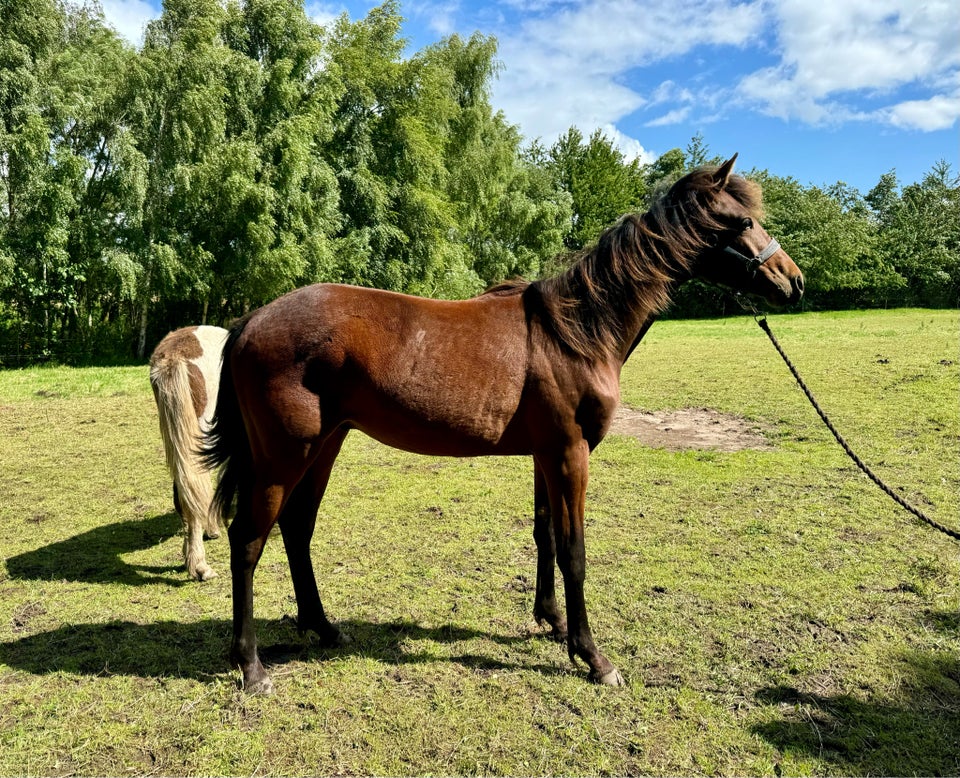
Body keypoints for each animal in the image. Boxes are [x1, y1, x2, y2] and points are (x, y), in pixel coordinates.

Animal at [202, 156, 804, 692]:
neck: (574, 331)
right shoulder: (570, 452)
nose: (794, 282)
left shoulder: (546, 453)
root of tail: (250, 320)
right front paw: (593, 657)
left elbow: (545, 535)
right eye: (743, 222)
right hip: (283, 456)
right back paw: (251, 666)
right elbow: (574, 550)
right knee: (248, 539)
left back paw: (324, 628)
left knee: (297, 528)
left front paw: (553, 622)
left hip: (324, 445)